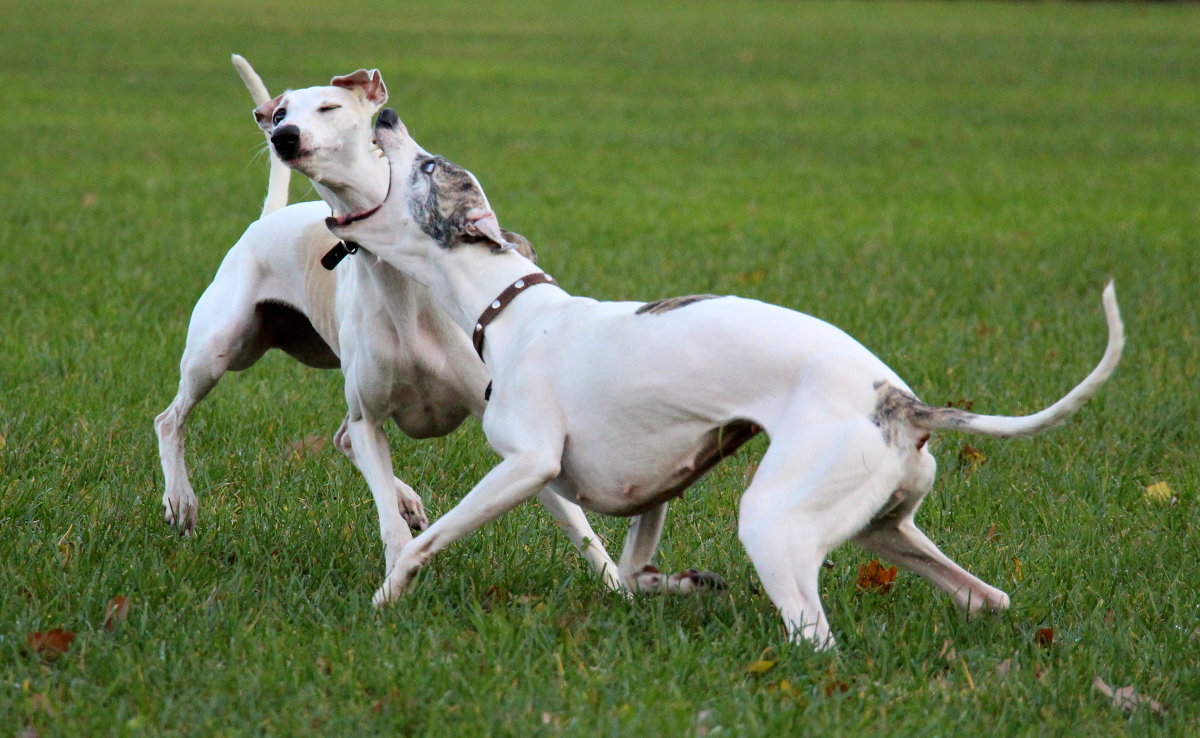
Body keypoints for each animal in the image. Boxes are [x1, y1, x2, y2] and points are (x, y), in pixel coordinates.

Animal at [321, 109, 1123, 648]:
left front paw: (386, 599)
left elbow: (425, 539)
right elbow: (634, 571)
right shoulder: (653, 484)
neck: (510, 305)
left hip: (776, 525)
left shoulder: (527, 465)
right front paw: (679, 584)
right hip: (886, 528)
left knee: (815, 636)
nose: (386, 113)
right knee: (986, 598)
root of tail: (905, 404)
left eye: (430, 166)